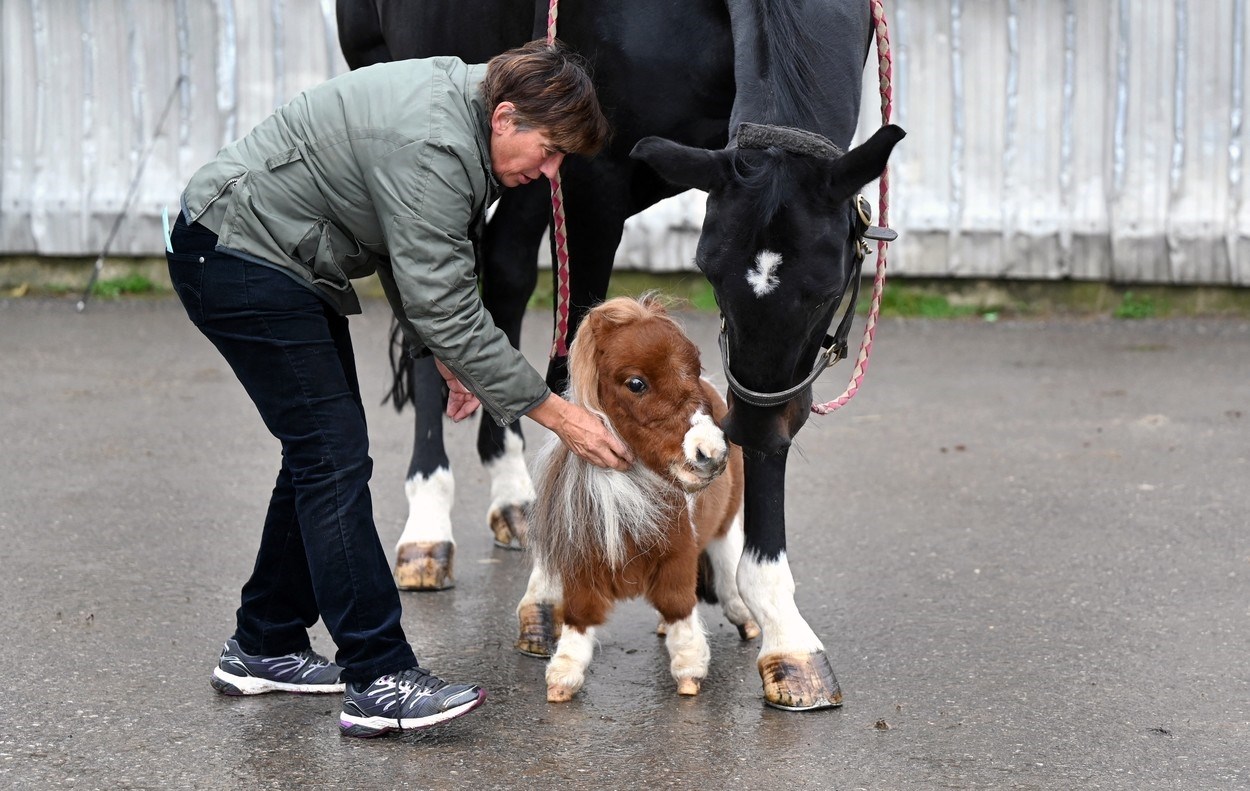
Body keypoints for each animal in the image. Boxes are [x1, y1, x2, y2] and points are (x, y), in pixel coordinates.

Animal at [512, 294, 755, 694]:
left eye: (695, 366)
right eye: (636, 383)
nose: (710, 453)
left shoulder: (678, 556)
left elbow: (678, 605)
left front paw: (689, 671)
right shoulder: (581, 565)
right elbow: (579, 615)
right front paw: (563, 677)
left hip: (726, 519)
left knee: (725, 555)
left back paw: (743, 617)